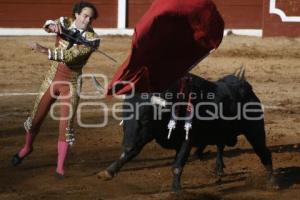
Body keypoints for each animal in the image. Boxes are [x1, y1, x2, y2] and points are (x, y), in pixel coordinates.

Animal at [97, 72, 274, 191]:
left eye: (146, 117)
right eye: (124, 115)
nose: (126, 144)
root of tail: (245, 86)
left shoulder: (186, 140)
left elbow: (177, 165)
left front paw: (176, 190)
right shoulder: (143, 136)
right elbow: (128, 154)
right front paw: (108, 171)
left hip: (255, 131)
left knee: (264, 153)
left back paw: (273, 182)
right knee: (220, 145)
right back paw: (218, 169)